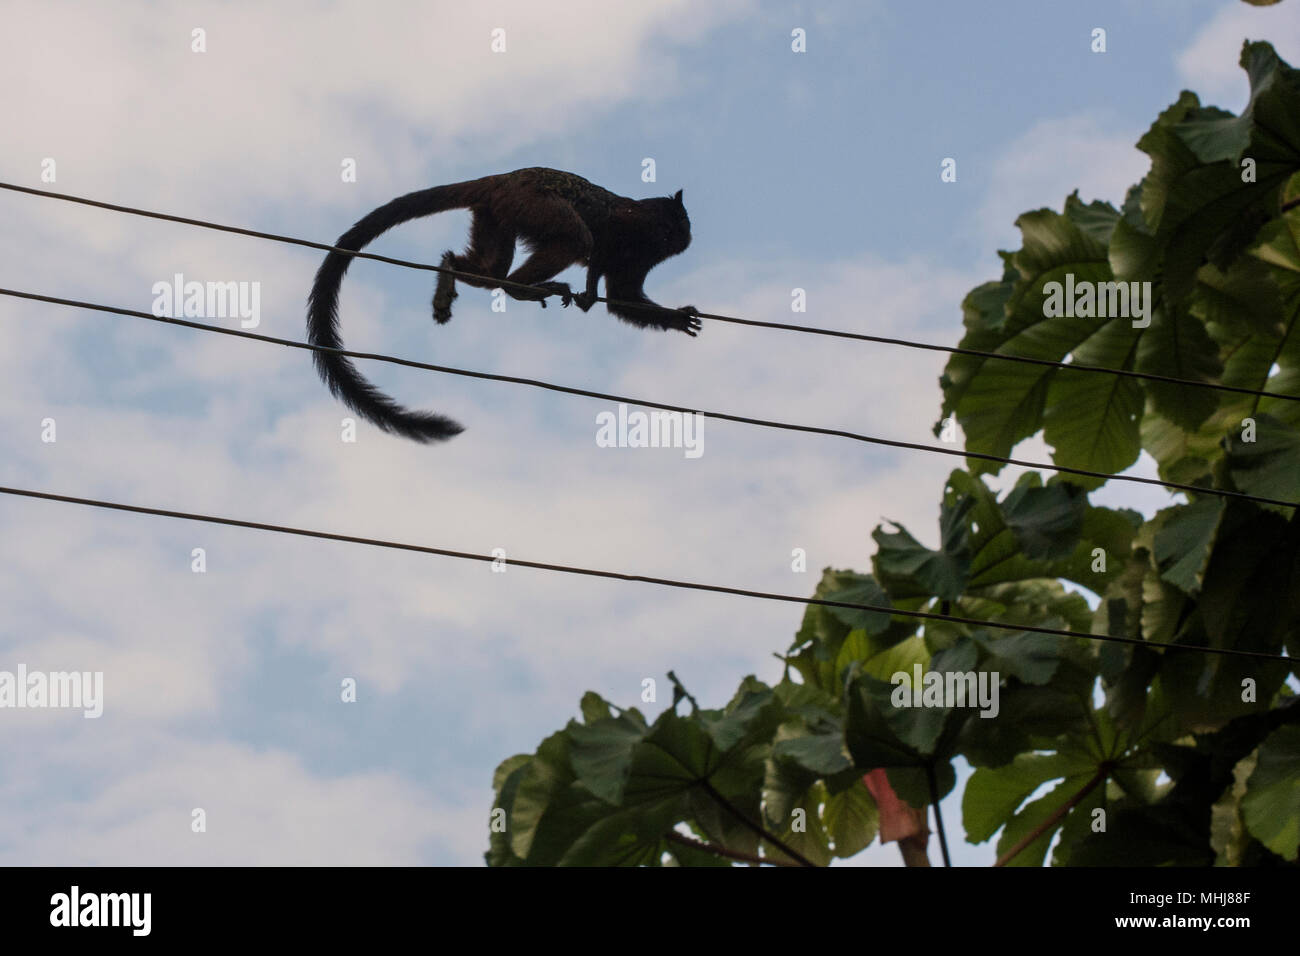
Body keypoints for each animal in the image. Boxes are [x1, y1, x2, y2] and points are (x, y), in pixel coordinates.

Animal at [304, 166, 696, 442]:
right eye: (683, 224)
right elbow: (603, 242)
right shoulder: (639, 229)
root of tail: (502, 179)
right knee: (576, 236)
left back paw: (453, 268)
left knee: (491, 270)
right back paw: (519, 287)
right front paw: (590, 285)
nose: (687, 237)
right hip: (533, 202)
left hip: (497, 213)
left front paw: (677, 319)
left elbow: (621, 298)